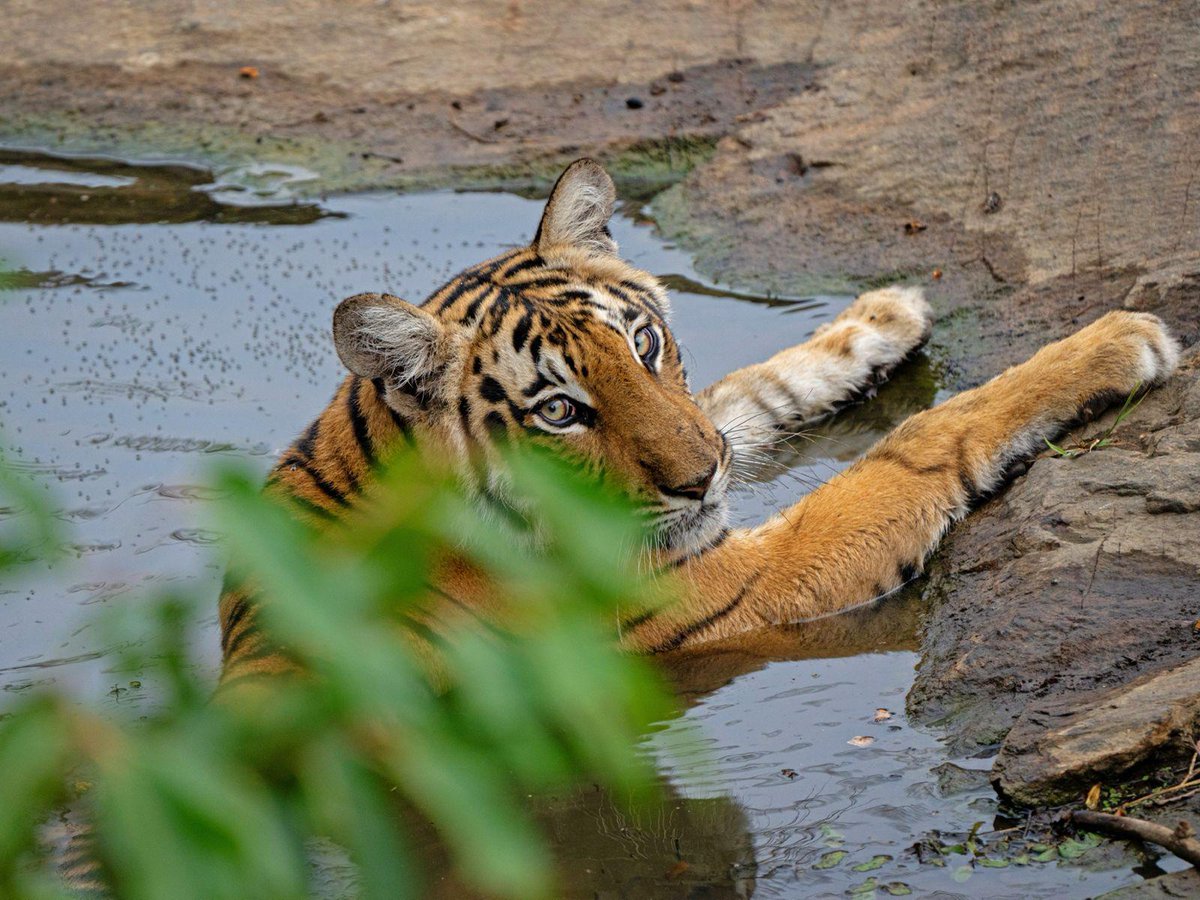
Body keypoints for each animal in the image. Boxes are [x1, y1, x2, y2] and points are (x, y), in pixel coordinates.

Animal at [218, 158, 1180, 686]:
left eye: (643, 343)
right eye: (559, 412)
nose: (701, 480)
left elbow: (747, 393)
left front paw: (882, 317)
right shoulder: (745, 583)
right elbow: (917, 442)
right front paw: (1119, 340)